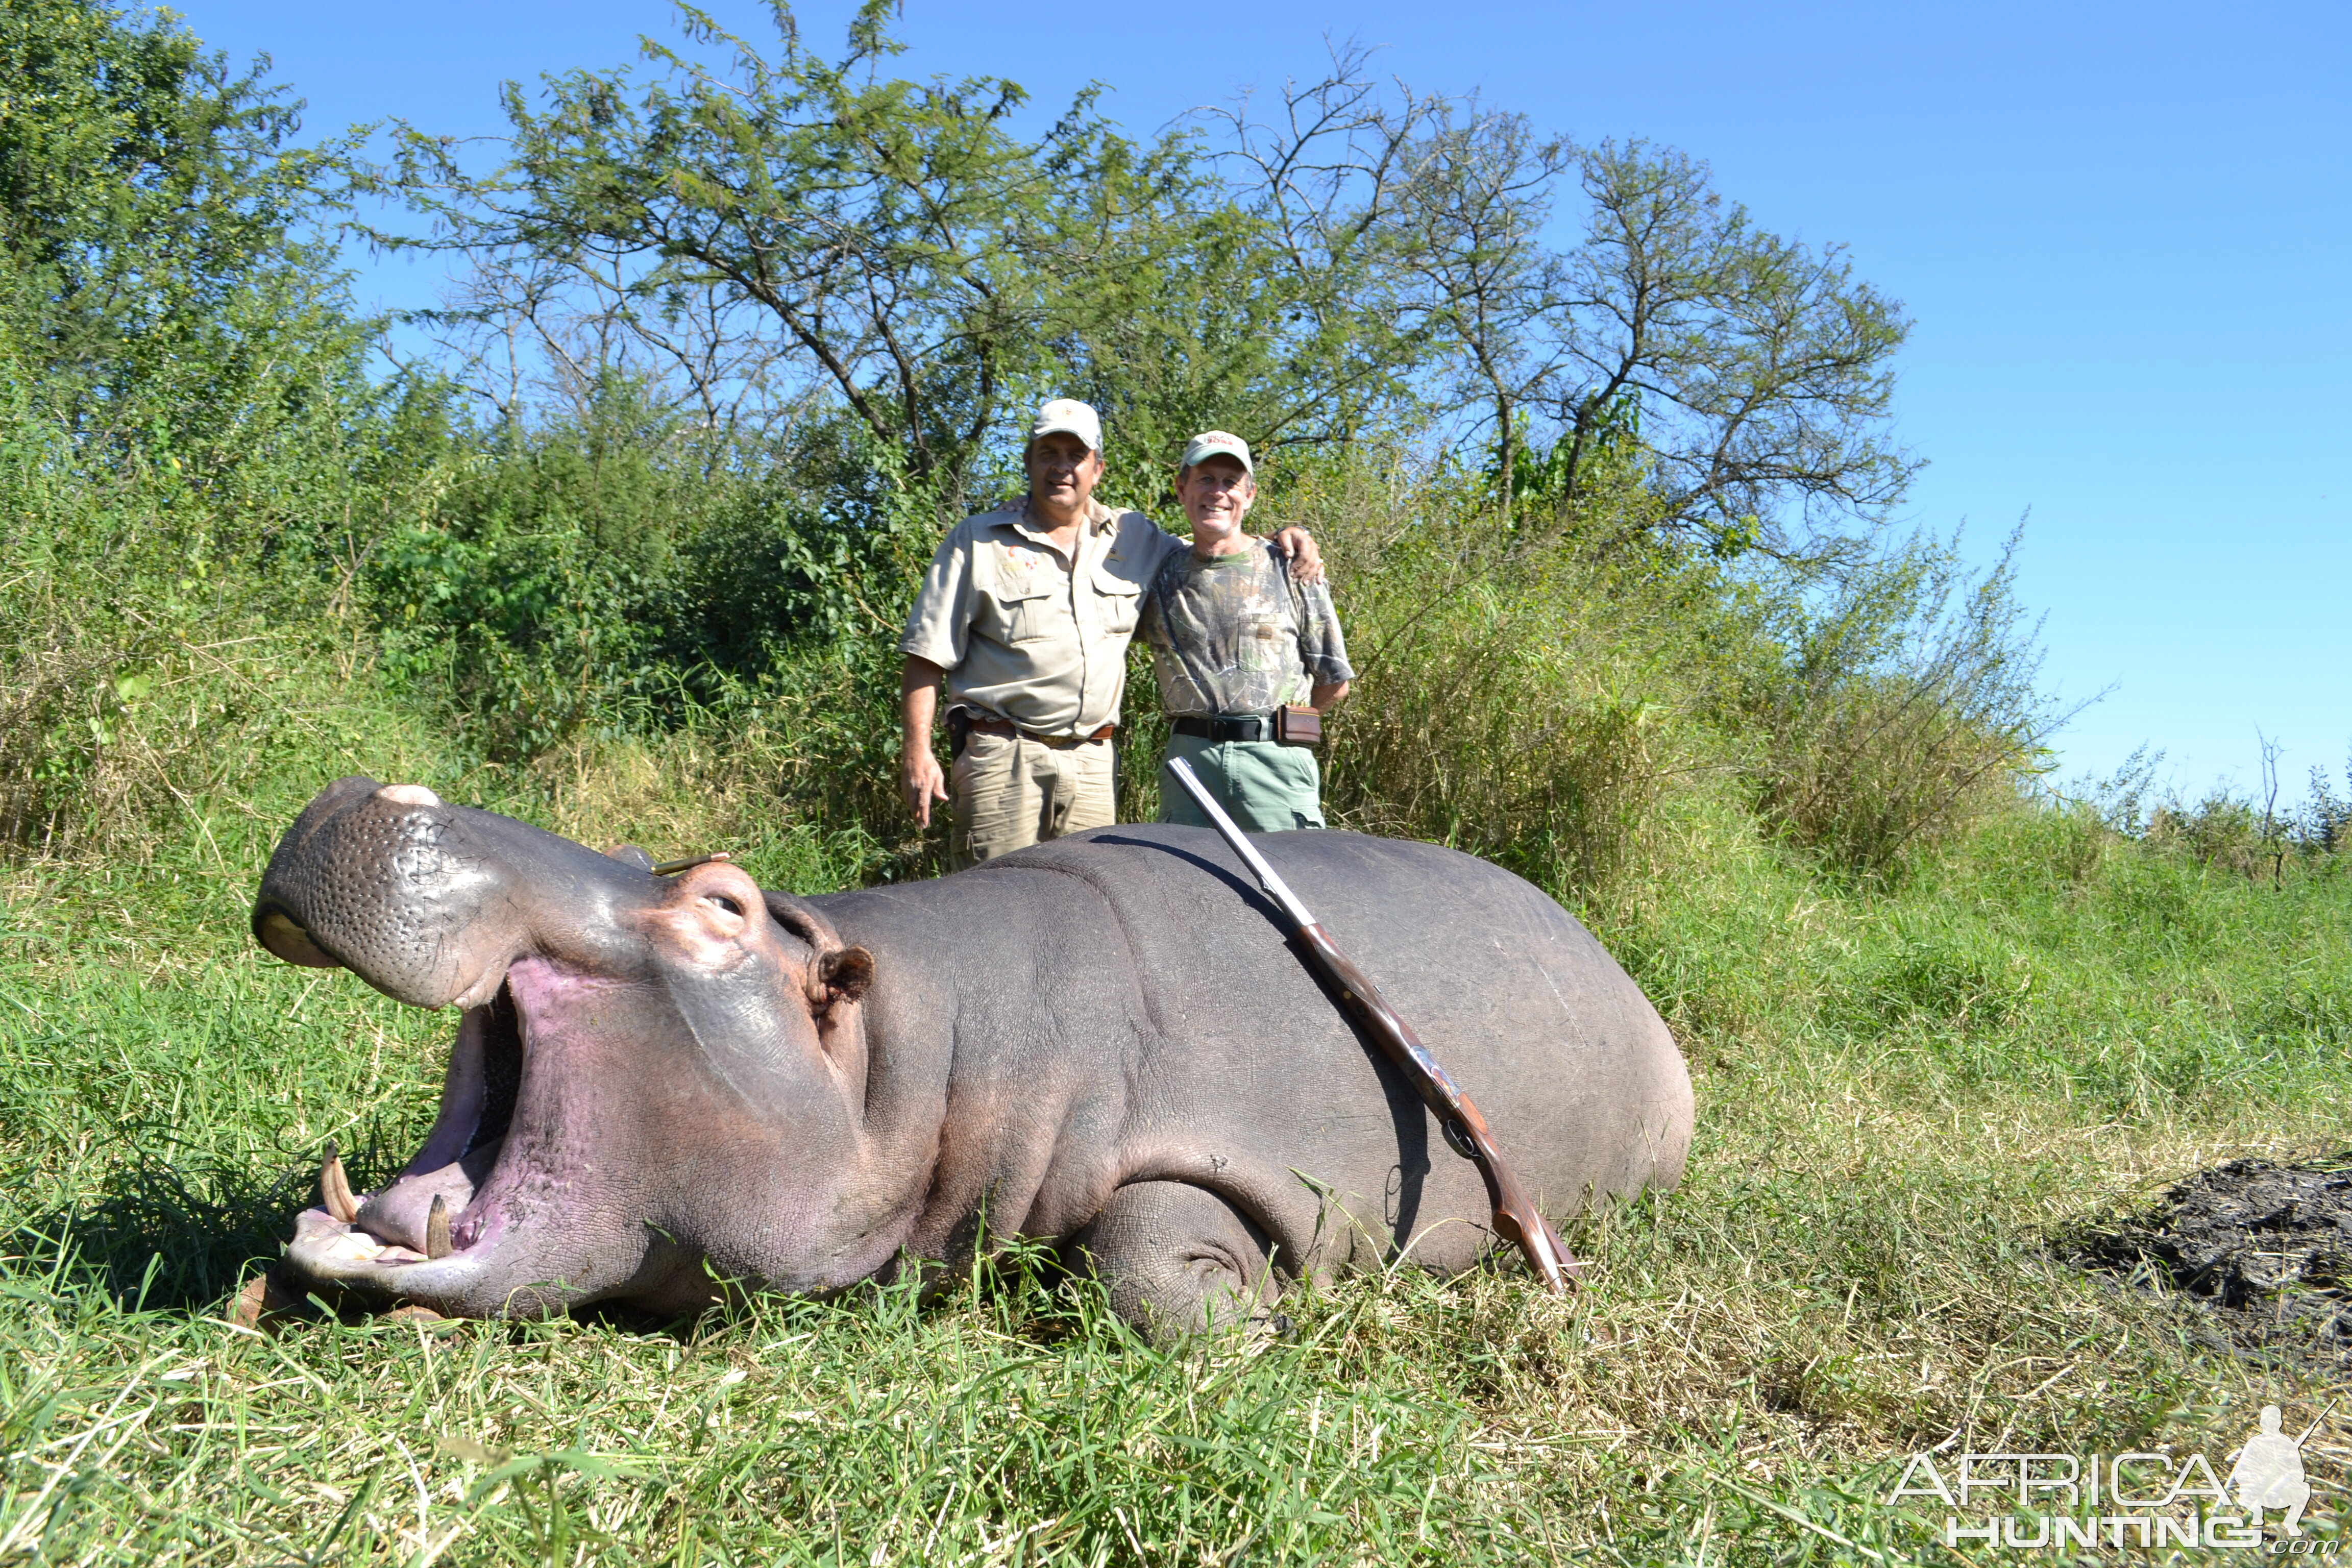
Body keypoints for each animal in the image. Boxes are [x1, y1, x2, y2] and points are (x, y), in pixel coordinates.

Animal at [253, 771, 1693, 1335]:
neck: (918, 1053)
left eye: (721, 902)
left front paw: (1263, 1324)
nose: (378, 792)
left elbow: (1145, 1256)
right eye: (644, 850)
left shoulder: (1239, 1149)